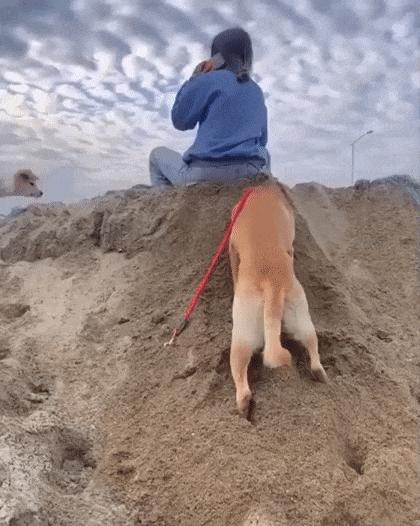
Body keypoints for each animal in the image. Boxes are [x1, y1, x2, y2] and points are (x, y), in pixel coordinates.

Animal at [230, 183, 328, 416]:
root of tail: (272, 283)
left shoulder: (231, 246)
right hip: (299, 314)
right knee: (312, 345)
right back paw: (319, 373)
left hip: (243, 331)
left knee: (239, 372)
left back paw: (242, 405)